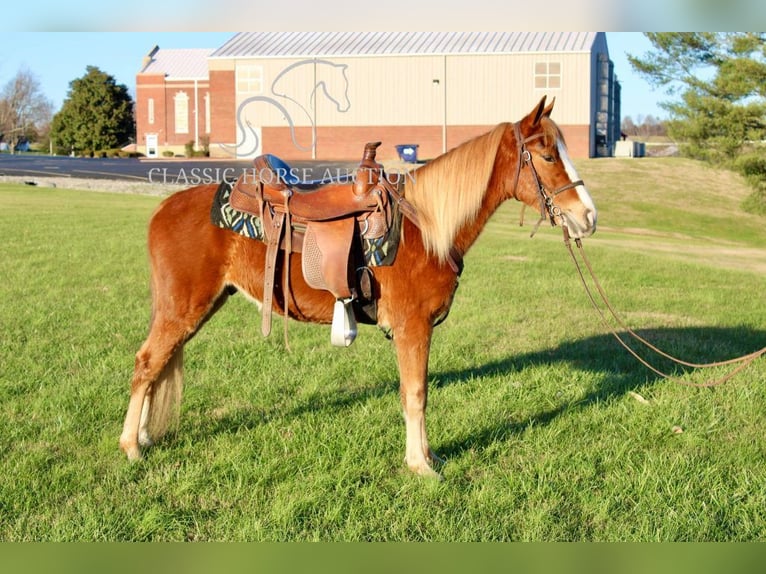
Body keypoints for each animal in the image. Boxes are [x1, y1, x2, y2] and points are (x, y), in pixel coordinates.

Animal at [120, 97, 600, 480]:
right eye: (547, 155)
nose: (588, 217)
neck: (423, 227)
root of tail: (164, 206)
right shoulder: (412, 327)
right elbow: (416, 394)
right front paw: (420, 466)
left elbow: (416, 392)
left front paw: (427, 457)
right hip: (183, 308)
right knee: (146, 364)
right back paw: (131, 447)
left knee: (157, 366)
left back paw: (142, 438)